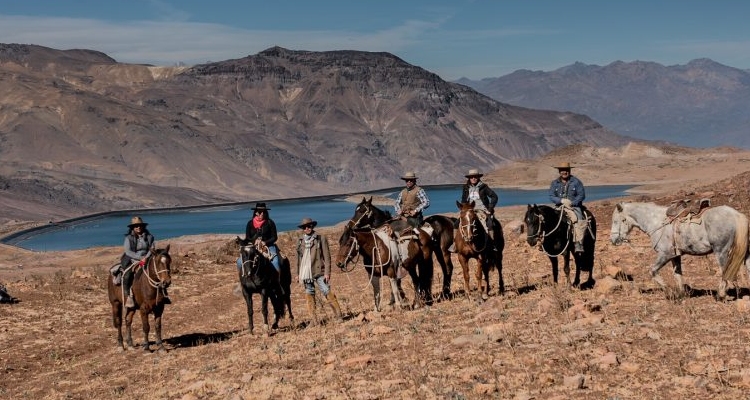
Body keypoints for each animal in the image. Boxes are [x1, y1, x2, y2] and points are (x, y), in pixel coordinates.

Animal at [612, 202, 750, 298]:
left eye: (615, 221)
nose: (613, 240)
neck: (657, 222)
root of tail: (736, 215)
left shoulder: (665, 254)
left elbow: (653, 271)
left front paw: (669, 293)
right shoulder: (675, 256)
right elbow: (677, 274)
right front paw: (680, 294)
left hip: (721, 252)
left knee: (725, 271)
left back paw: (720, 295)